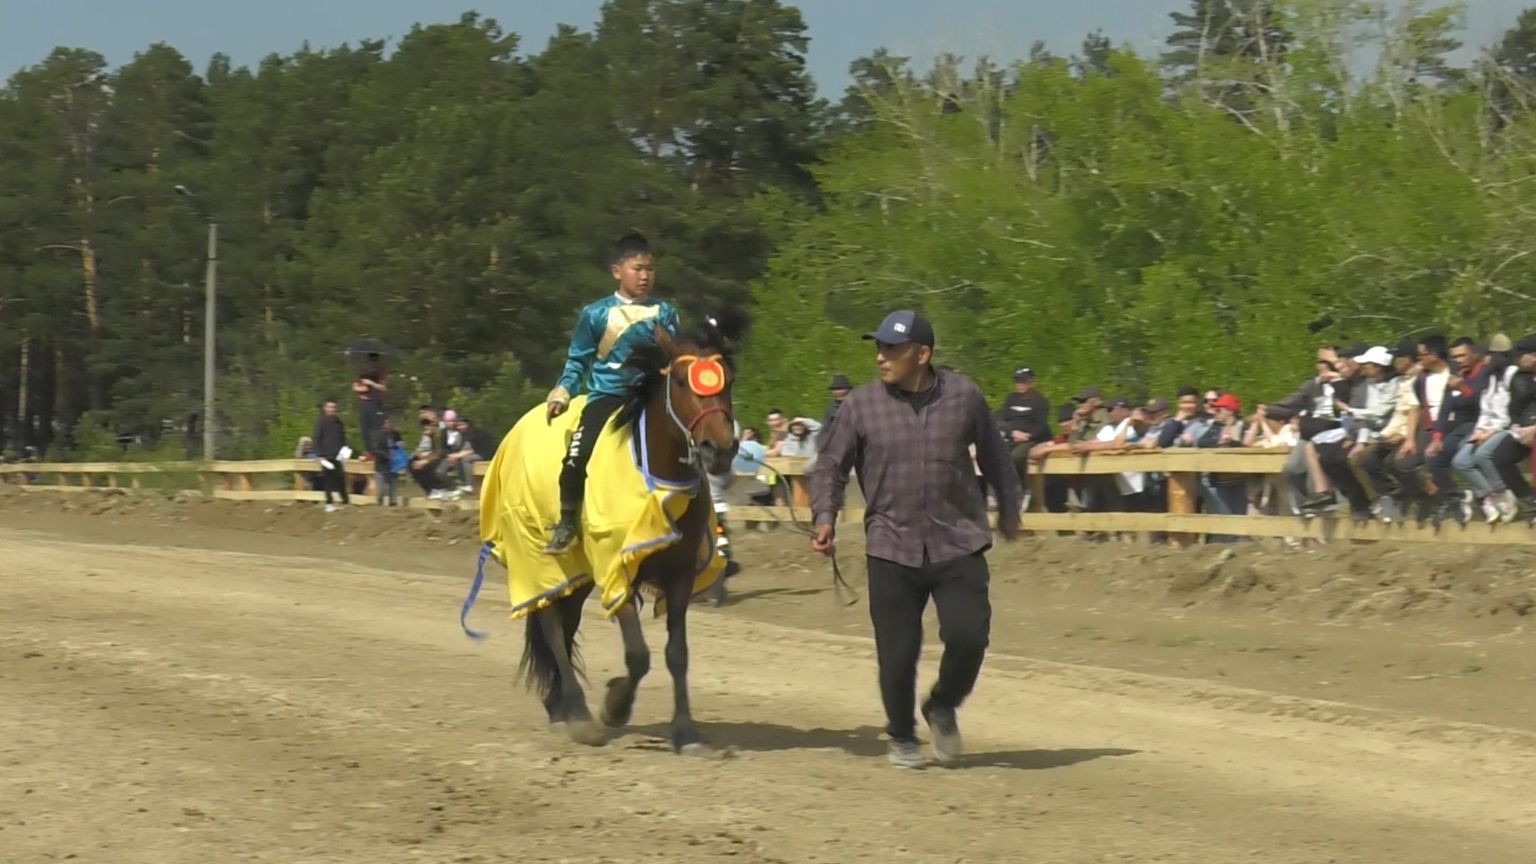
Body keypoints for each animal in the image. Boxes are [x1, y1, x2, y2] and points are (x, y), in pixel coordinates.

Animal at [509, 310, 743, 753]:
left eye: (729, 381)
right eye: (682, 381)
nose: (718, 450)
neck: (657, 482)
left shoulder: (680, 577)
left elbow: (676, 654)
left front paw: (686, 732)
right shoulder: (617, 570)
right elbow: (638, 655)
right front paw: (614, 707)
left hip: (577, 576)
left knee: (564, 625)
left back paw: (559, 707)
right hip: (538, 561)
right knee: (551, 627)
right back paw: (578, 714)